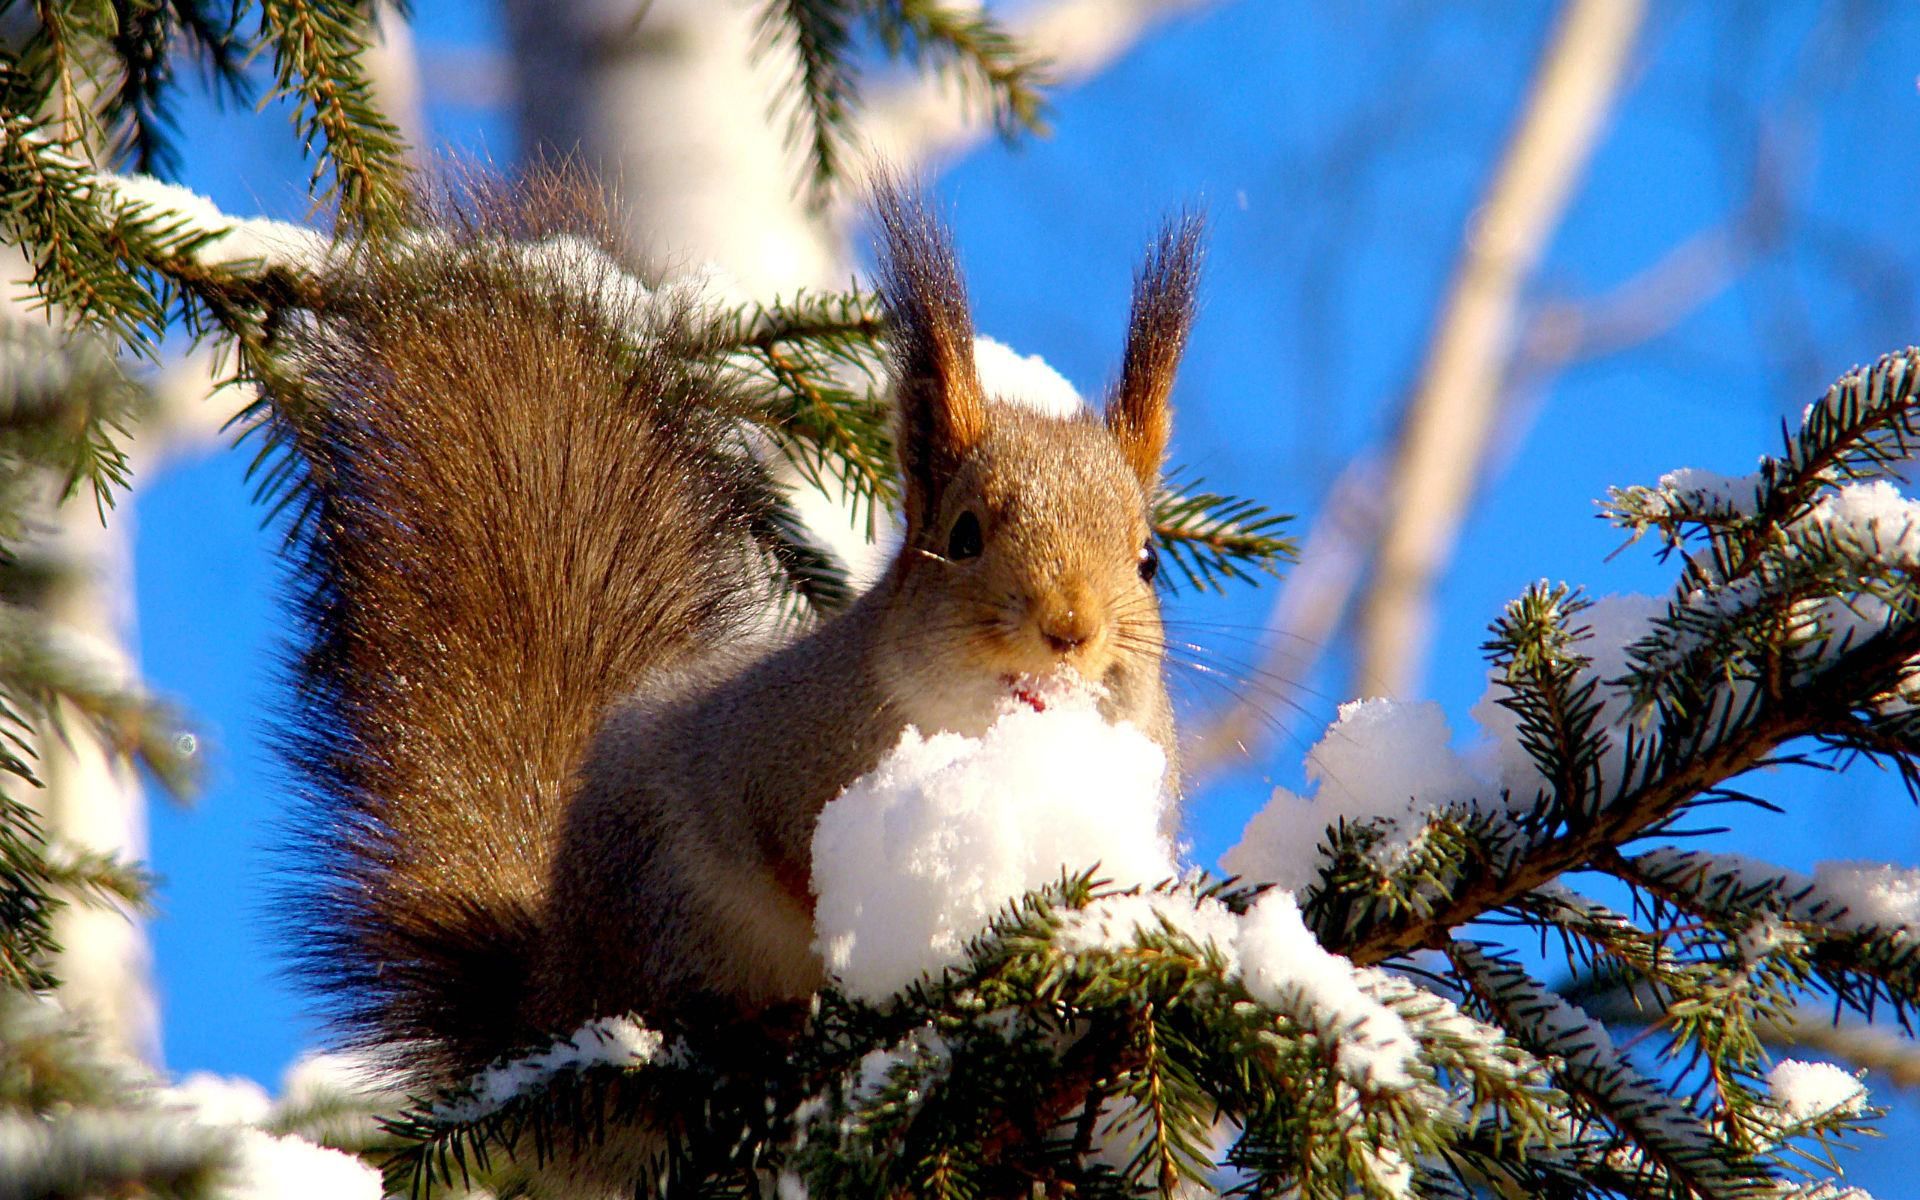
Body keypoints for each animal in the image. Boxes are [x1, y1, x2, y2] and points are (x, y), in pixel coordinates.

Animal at [274, 175, 1198, 1098]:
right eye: (964, 536)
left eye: (1148, 559)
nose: (1069, 629)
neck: (986, 732)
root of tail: (552, 986)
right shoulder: (772, 762)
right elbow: (793, 869)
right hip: (665, 907)